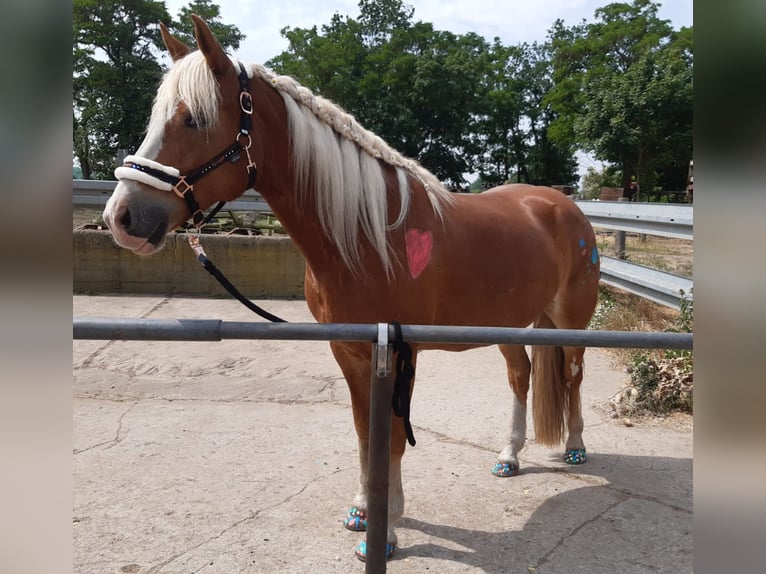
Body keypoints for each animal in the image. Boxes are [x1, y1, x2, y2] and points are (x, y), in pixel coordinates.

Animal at [102, 15, 600, 562]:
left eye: (193, 119)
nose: (122, 217)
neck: (368, 234)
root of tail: (562, 204)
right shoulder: (349, 351)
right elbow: (366, 432)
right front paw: (364, 511)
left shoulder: (400, 352)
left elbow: (393, 439)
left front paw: (388, 532)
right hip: (509, 323)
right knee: (521, 374)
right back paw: (509, 456)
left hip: (571, 321)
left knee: (573, 375)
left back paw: (575, 448)